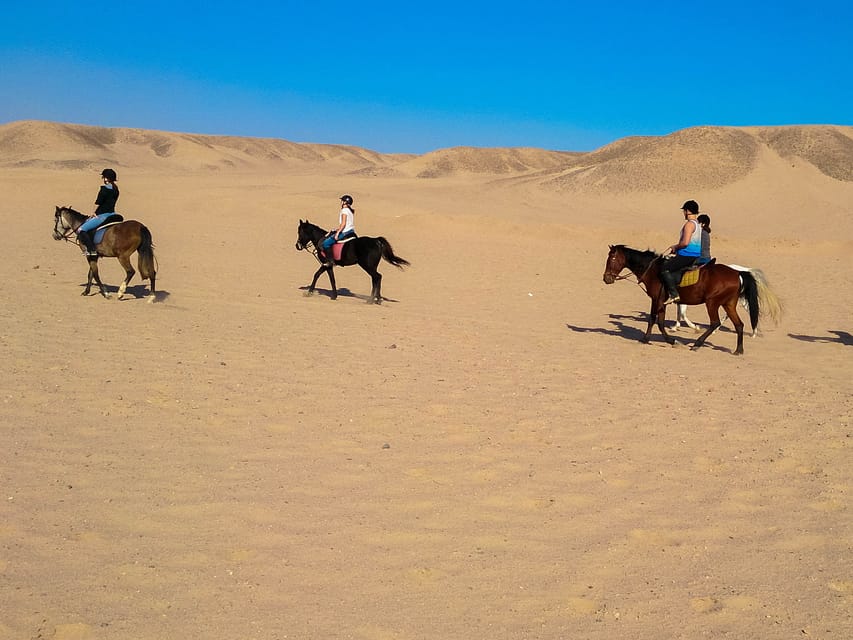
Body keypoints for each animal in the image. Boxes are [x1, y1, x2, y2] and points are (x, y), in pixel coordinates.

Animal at [600, 245, 780, 356]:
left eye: (612, 260)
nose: (606, 279)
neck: (653, 270)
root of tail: (737, 272)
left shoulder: (657, 299)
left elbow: (655, 320)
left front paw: (667, 340)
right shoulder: (661, 301)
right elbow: (657, 320)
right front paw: (656, 339)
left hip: (712, 303)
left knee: (715, 323)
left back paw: (697, 344)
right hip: (728, 304)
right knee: (739, 325)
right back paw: (738, 350)